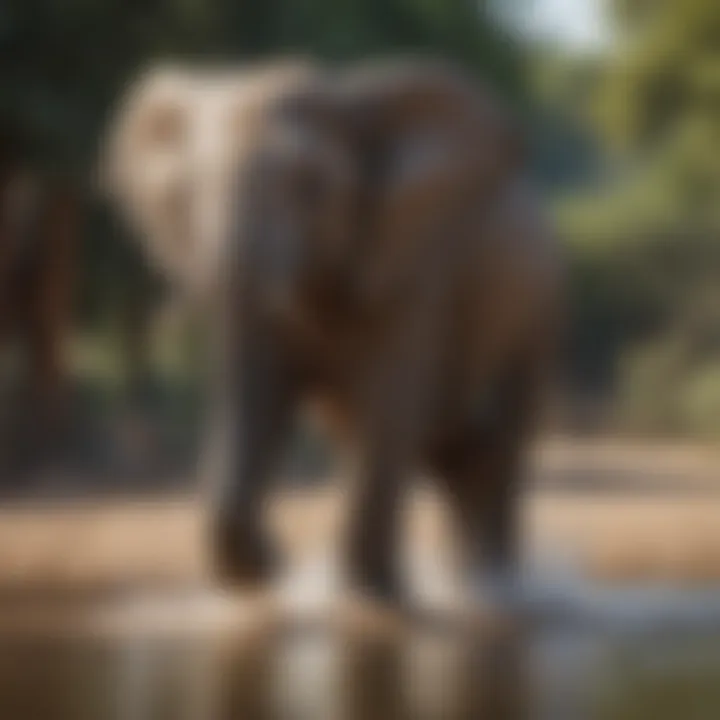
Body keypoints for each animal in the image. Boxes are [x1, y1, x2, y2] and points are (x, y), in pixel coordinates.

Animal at [102, 57, 564, 608]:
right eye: (190, 192)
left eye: (312, 186)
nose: (278, 559)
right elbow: (268, 398)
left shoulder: (410, 271)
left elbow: (386, 407)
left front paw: (372, 602)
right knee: (446, 458)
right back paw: (466, 585)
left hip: (535, 315)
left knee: (493, 452)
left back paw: (493, 592)